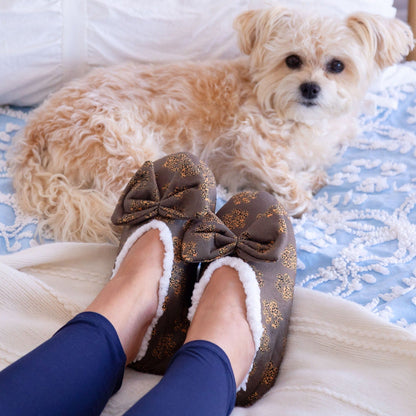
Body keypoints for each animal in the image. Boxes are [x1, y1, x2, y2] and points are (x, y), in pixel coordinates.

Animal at [8, 6, 412, 244]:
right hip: (125, 148)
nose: (310, 88)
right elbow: (293, 189)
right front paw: (302, 188)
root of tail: (35, 129)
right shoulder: (254, 141)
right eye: (292, 60)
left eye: (337, 66)